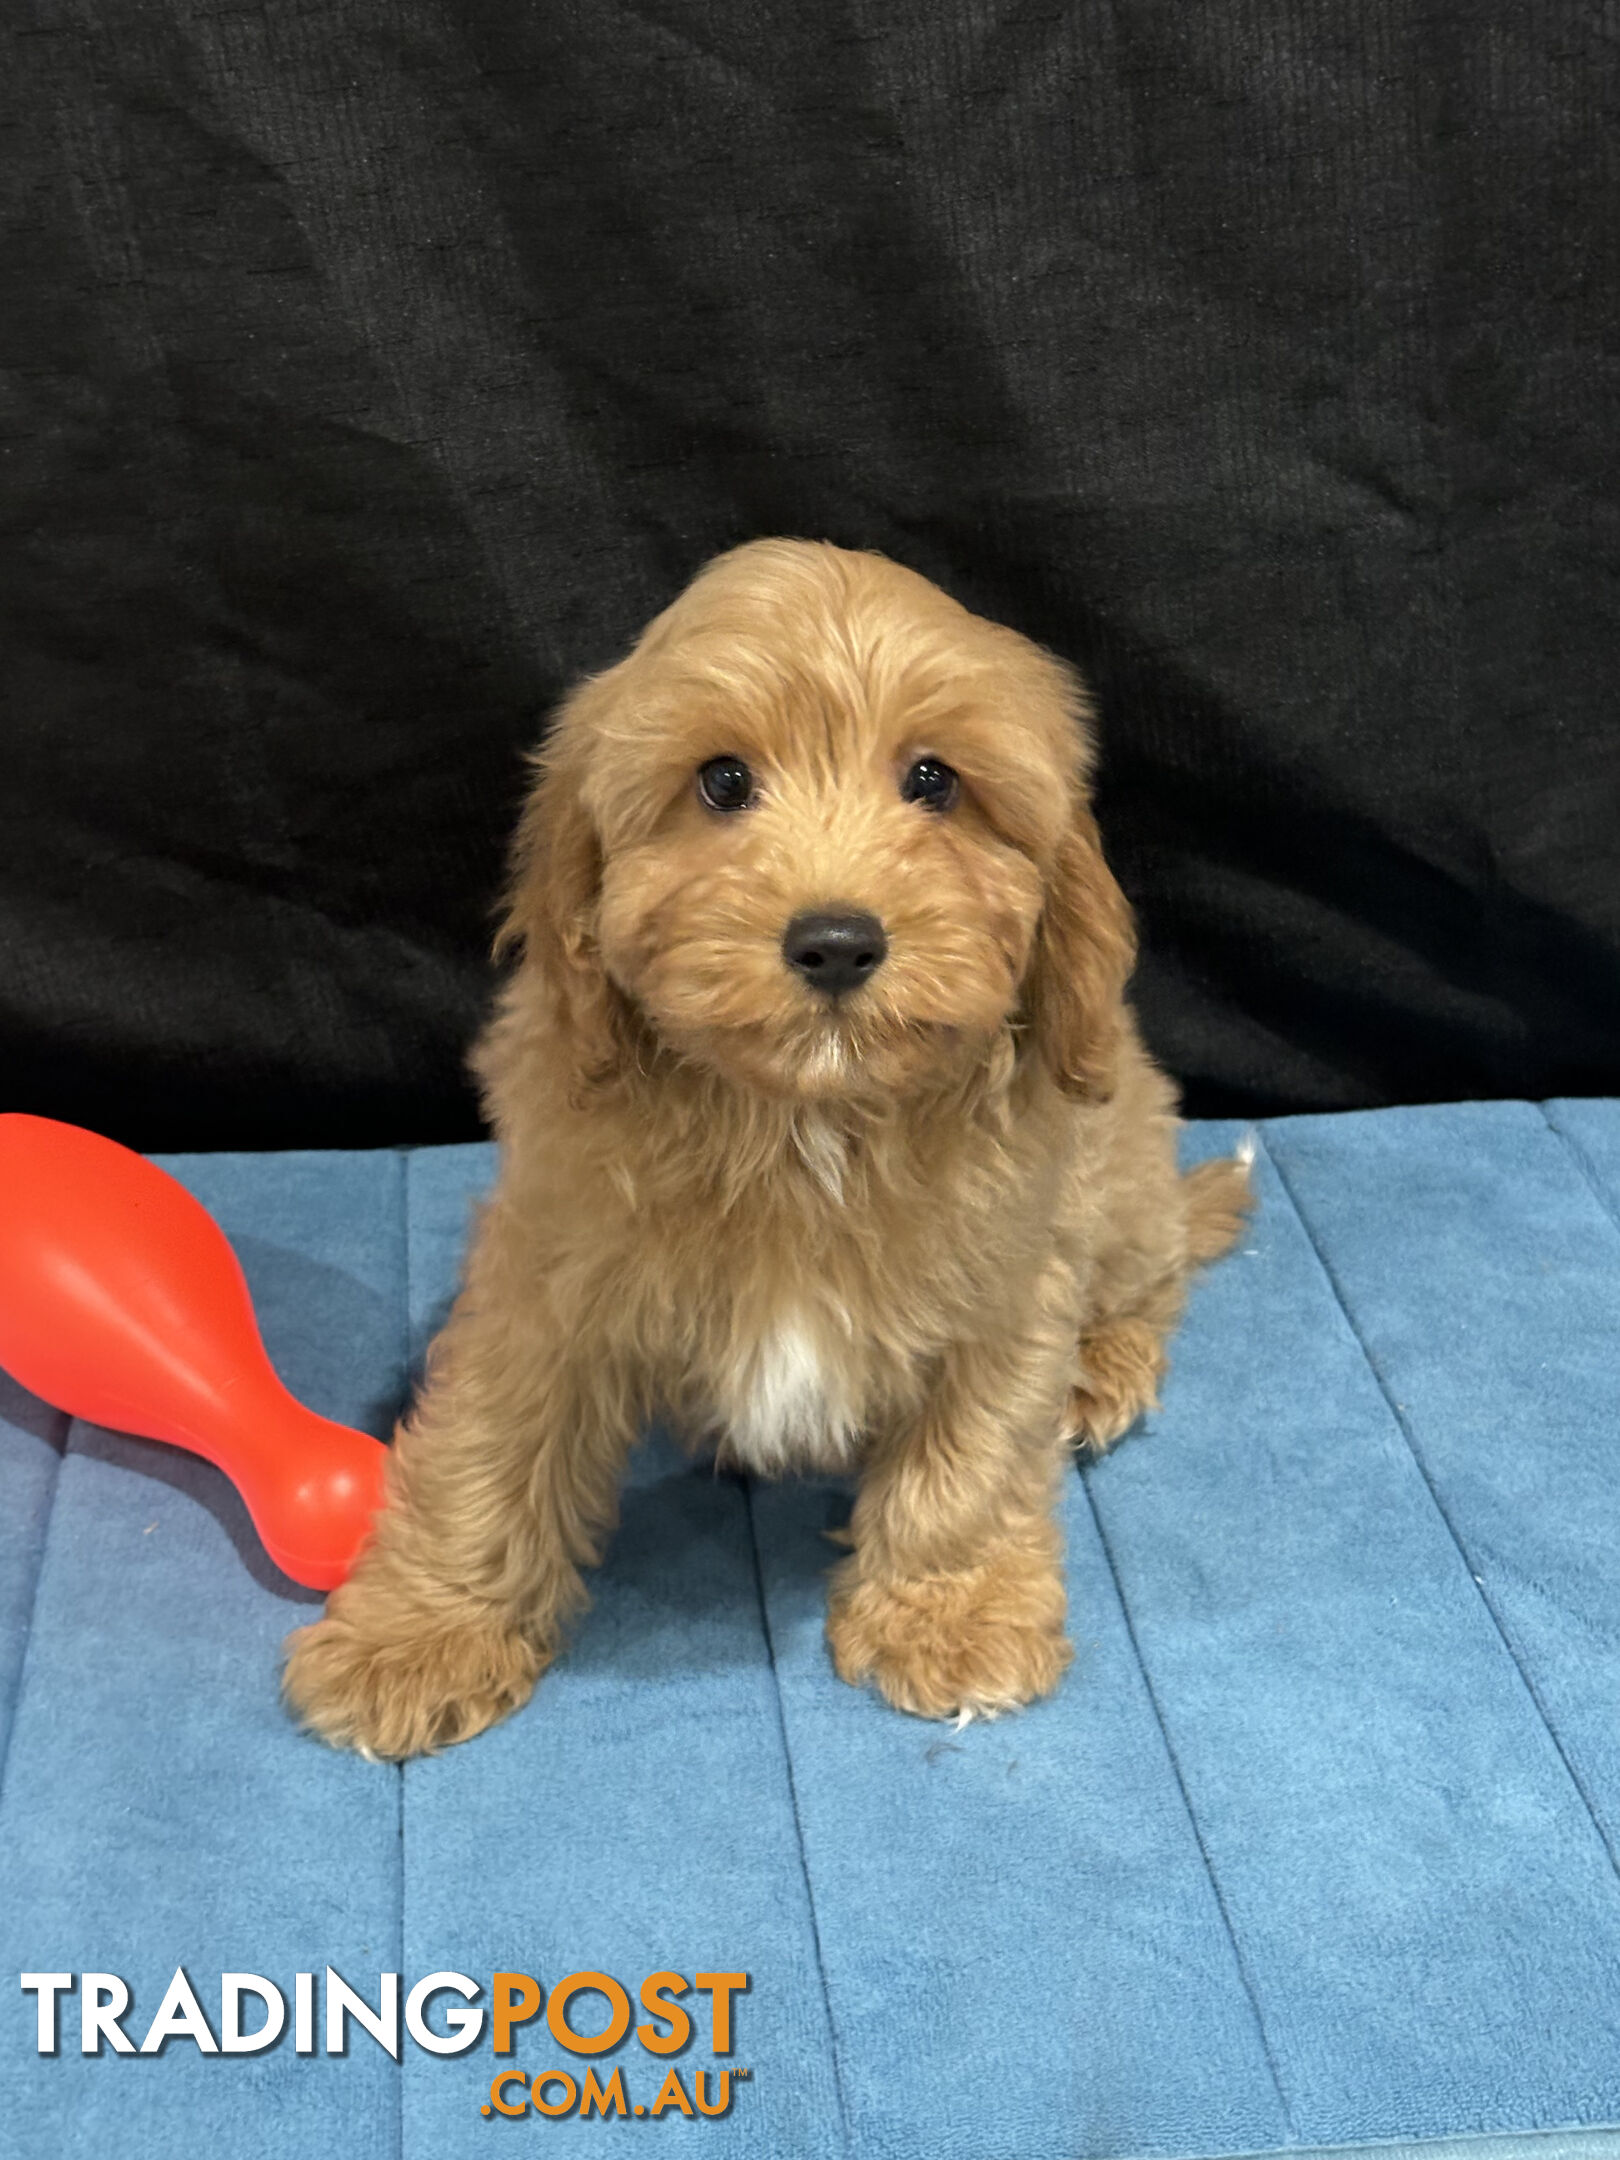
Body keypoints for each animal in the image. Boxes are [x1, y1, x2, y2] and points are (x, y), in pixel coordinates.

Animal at [285, 540, 1252, 1753]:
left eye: (933, 781)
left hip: (1118, 1168)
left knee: (1154, 1276)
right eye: (722, 783)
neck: (804, 1124)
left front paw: (953, 1612)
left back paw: (1104, 1369)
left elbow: (975, 1455)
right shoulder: (546, 1270)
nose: (836, 941)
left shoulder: (1010, 1275)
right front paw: (419, 1634)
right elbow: (487, 1441)